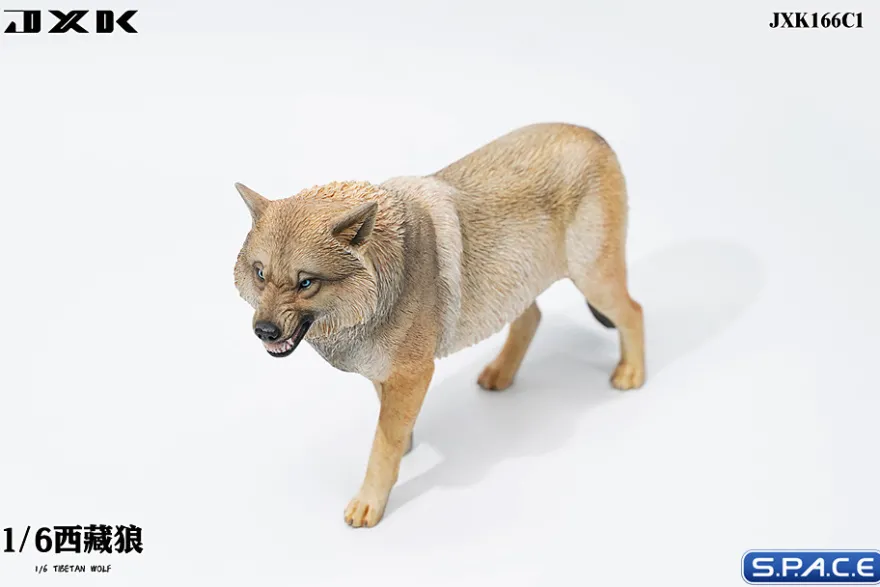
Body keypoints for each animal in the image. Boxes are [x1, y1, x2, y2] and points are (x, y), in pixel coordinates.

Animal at [233, 122, 645, 527]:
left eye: (306, 283)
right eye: (260, 274)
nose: (264, 331)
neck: (387, 277)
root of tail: (593, 134)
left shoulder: (414, 373)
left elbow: (383, 444)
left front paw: (370, 502)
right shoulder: (386, 371)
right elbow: (391, 424)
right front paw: (407, 445)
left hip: (593, 280)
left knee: (634, 311)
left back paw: (632, 373)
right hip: (513, 286)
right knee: (532, 318)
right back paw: (501, 373)